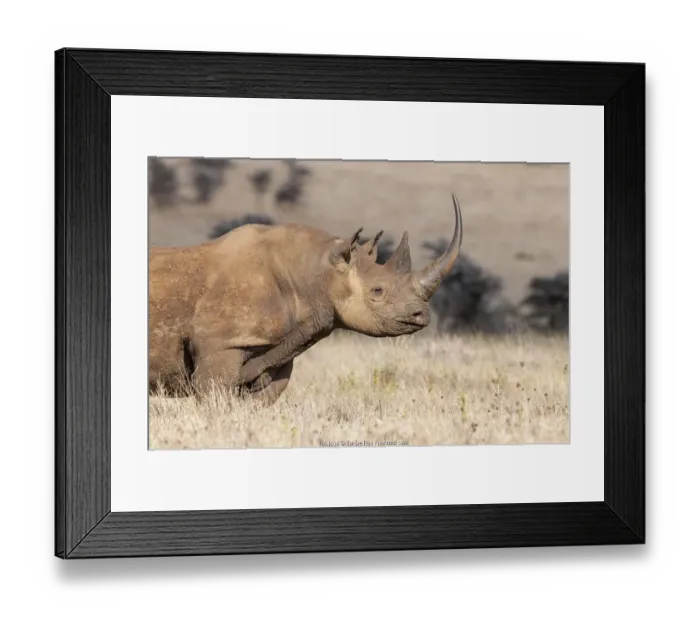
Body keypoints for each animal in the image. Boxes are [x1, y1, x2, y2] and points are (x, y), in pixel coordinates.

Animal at [149, 194, 464, 404]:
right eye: (378, 291)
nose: (422, 316)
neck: (316, 273)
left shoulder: (282, 346)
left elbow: (264, 396)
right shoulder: (221, 343)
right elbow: (214, 396)